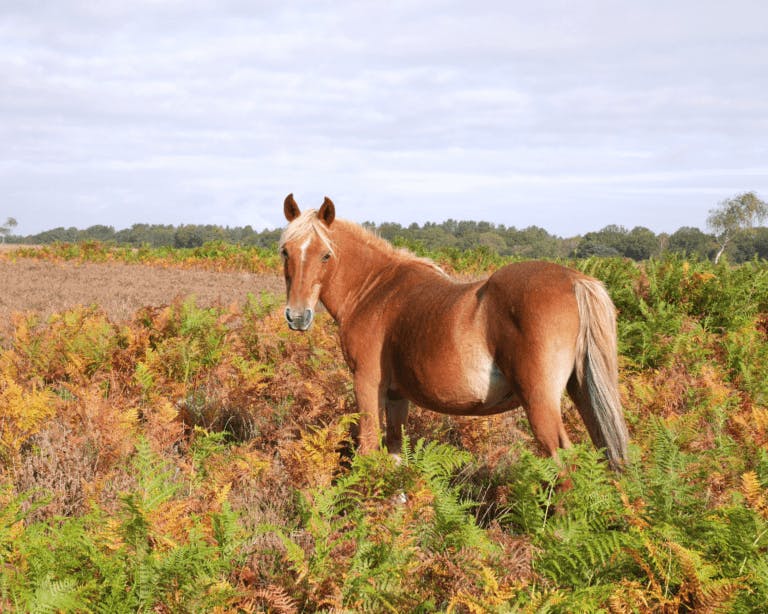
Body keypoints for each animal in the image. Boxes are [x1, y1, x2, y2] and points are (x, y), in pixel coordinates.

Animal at [279, 194, 629, 469]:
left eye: (326, 254)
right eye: (286, 251)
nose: (297, 316)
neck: (374, 290)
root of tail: (575, 280)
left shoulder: (367, 383)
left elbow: (368, 449)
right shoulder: (396, 395)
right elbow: (395, 454)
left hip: (540, 403)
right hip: (583, 393)